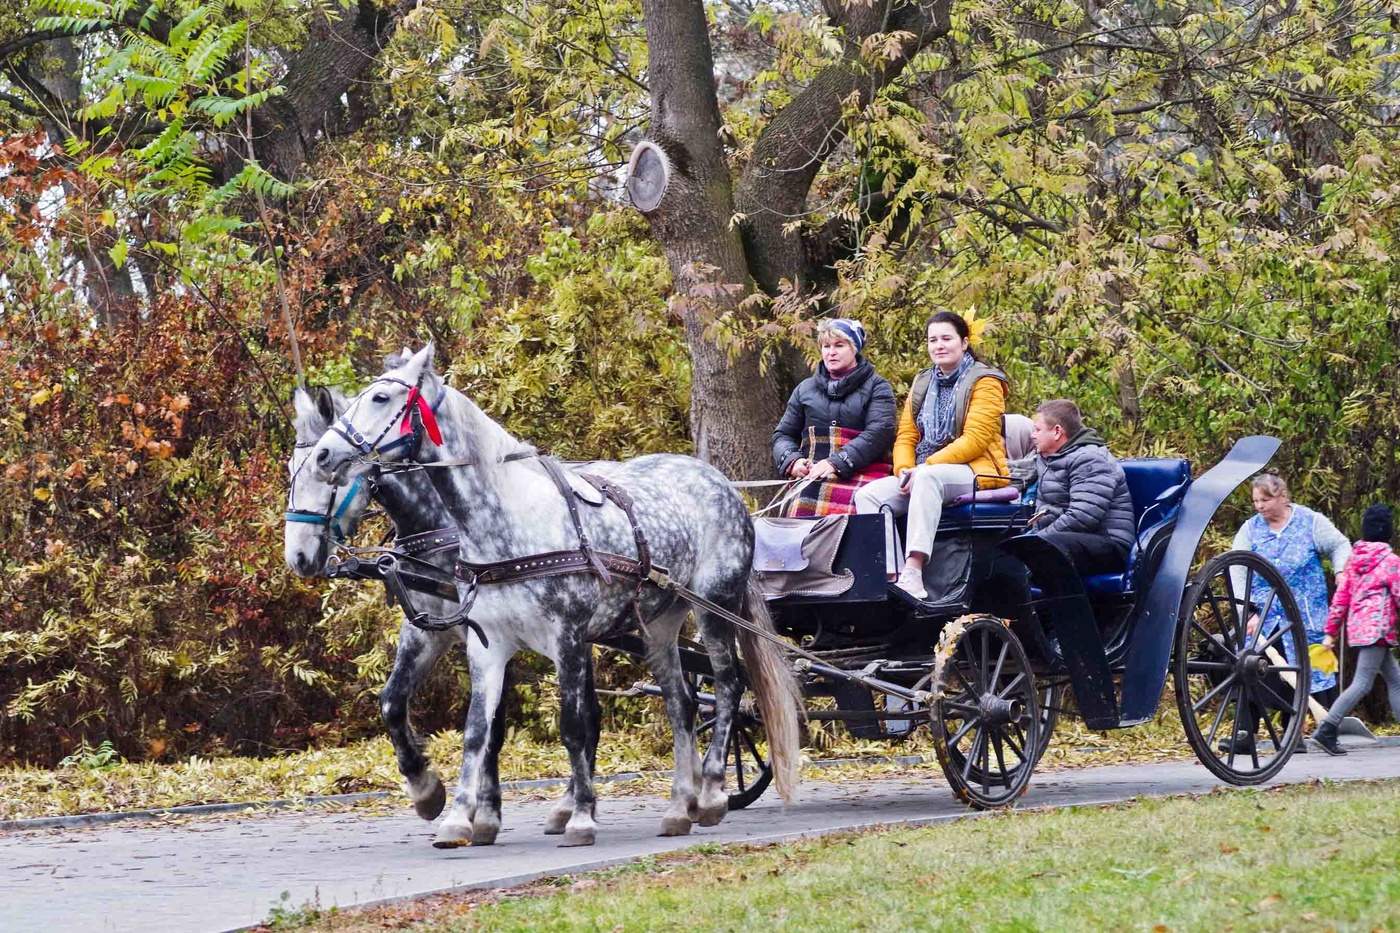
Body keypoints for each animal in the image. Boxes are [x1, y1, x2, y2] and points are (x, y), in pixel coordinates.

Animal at [310, 344, 806, 846]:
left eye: (381, 398)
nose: (324, 454)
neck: (505, 522)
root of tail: (720, 483)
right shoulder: (486, 643)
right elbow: (477, 730)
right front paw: (458, 817)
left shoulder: (567, 637)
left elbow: (574, 727)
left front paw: (581, 817)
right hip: (660, 623)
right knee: (680, 702)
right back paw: (677, 806)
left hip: (716, 606)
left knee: (727, 688)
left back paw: (711, 792)